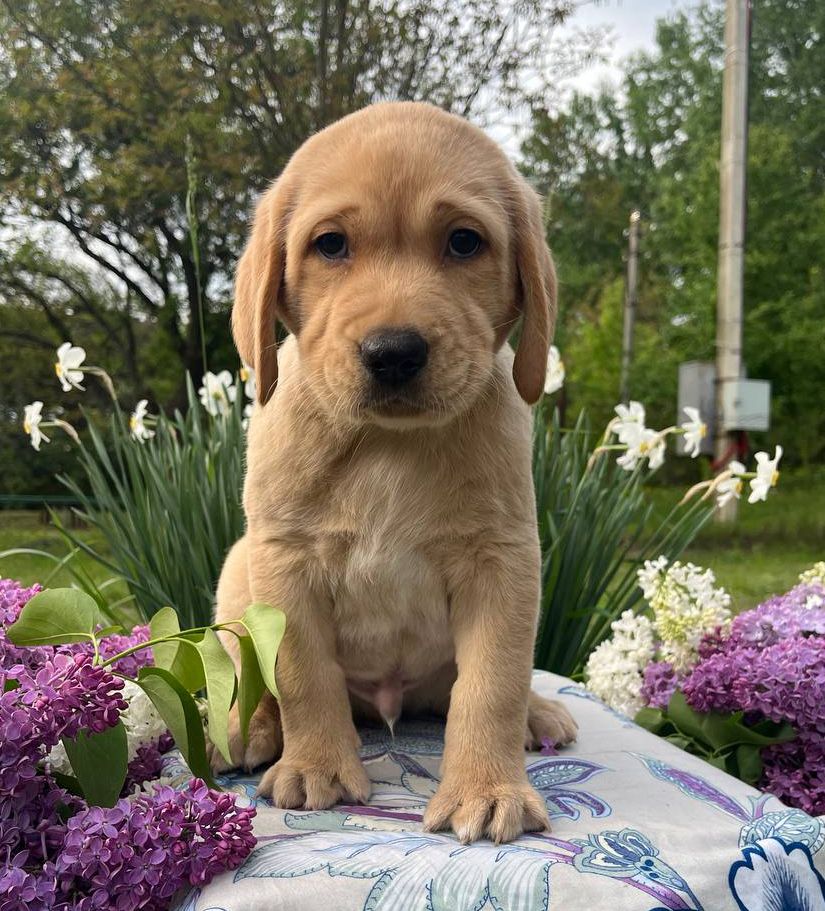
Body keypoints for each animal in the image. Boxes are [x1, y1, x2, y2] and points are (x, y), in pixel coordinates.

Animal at [211, 101, 572, 848]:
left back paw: (537, 712)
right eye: (330, 245)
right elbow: (302, 674)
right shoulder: (284, 560)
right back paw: (251, 729)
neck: (388, 446)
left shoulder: (503, 560)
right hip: (238, 576)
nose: (394, 352)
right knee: (252, 675)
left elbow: (491, 684)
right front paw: (316, 764)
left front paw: (487, 788)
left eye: (464, 242)